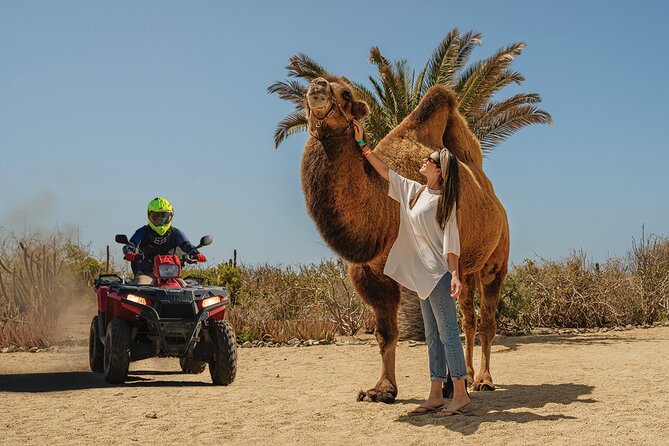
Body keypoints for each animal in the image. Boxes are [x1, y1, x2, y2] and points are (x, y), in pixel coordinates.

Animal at [301, 76, 509, 402]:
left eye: (346, 94)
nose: (317, 86)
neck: (387, 210)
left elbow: (438, 327)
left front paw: (446, 387)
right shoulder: (369, 274)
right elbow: (386, 332)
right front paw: (382, 390)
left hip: (496, 263)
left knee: (487, 319)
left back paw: (483, 380)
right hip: (466, 271)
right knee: (469, 318)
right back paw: (468, 376)